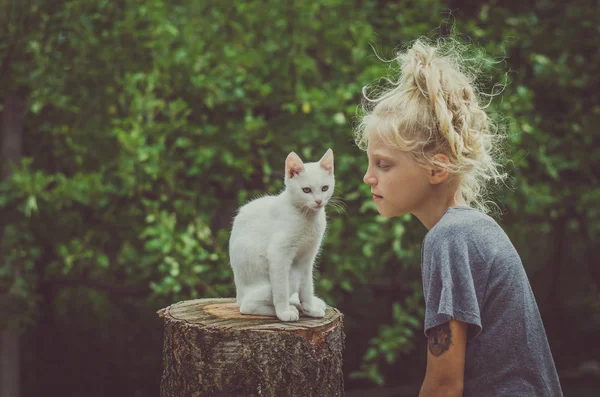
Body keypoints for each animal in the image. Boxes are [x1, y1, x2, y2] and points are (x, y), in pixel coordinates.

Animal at [230, 149, 336, 322]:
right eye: (306, 190)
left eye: (325, 188)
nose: (319, 201)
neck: (307, 217)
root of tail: (239, 294)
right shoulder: (278, 255)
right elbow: (281, 291)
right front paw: (284, 313)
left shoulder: (307, 258)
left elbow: (307, 287)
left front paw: (310, 308)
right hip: (288, 275)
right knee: (247, 306)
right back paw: (286, 309)